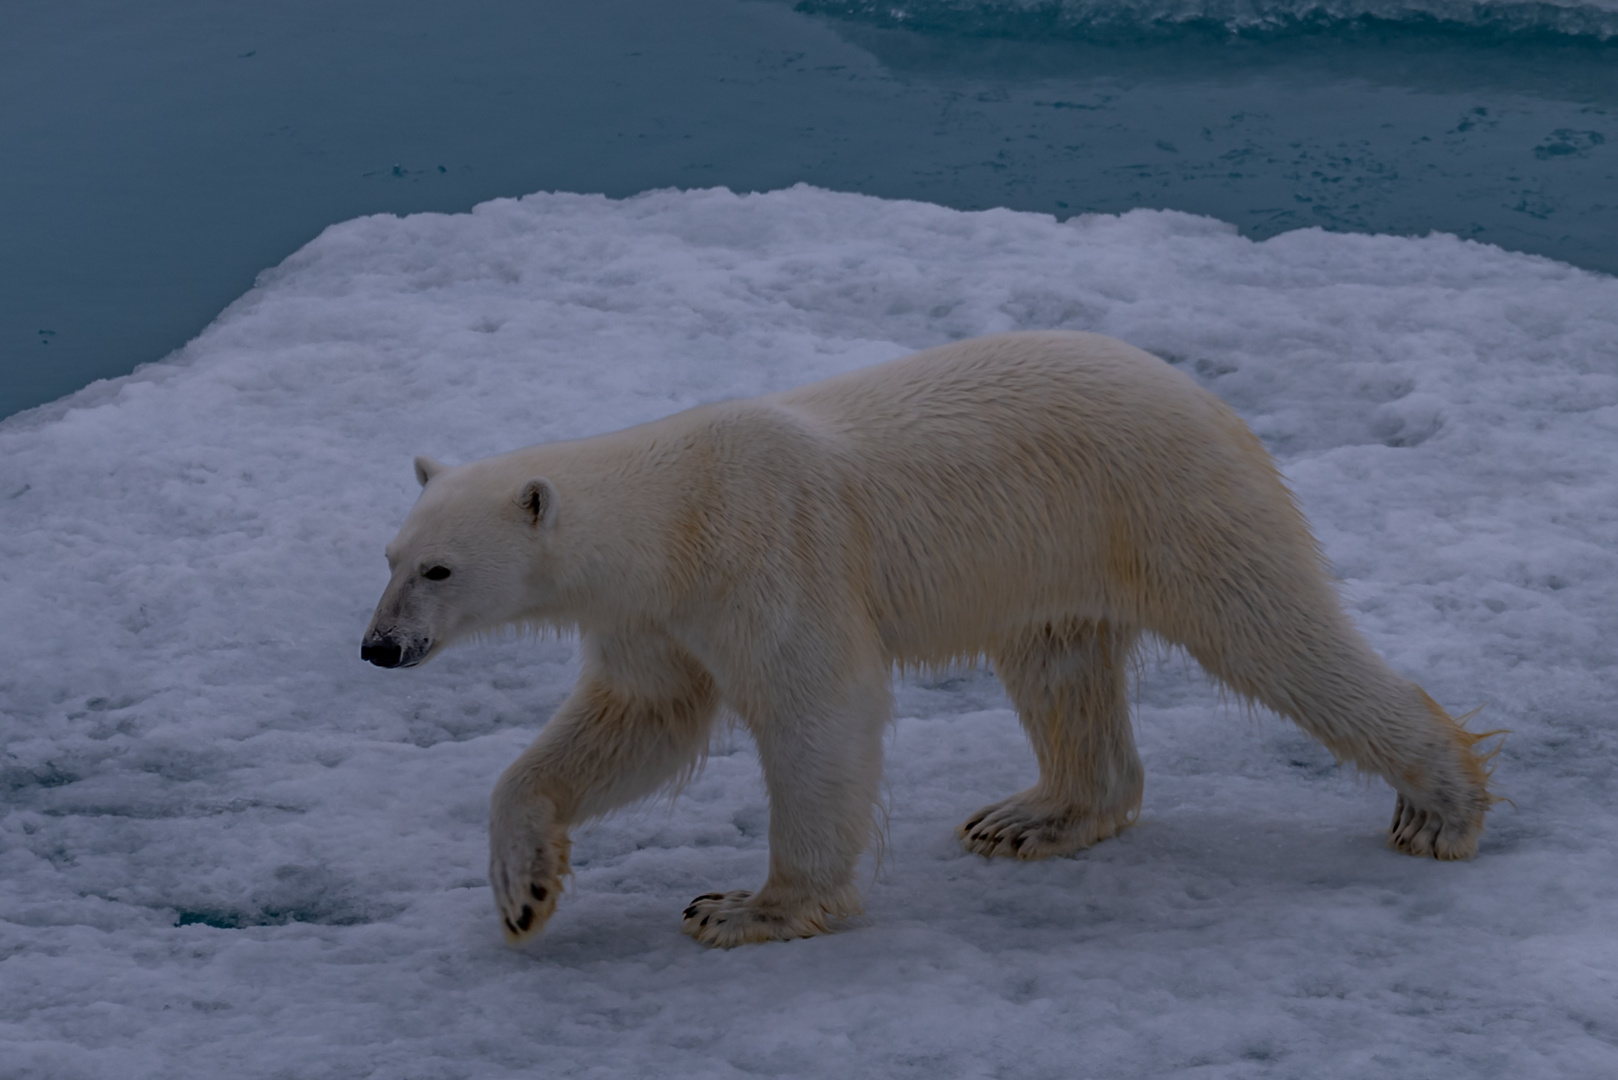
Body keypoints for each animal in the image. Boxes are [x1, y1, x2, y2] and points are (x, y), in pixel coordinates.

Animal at [360, 330, 1495, 945]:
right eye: (389, 555)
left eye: (439, 570)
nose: (378, 650)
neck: (679, 513)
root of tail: (1199, 391)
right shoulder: (655, 618)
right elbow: (634, 725)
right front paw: (523, 891)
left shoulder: (771, 557)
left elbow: (818, 713)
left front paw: (744, 908)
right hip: (1055, 552)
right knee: (1061, 669)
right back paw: (1032, 815)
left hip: (1164, 501)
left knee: (1275, 632)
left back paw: (1439, 806)